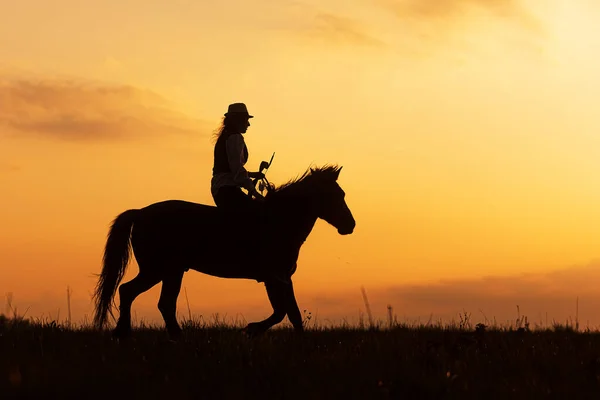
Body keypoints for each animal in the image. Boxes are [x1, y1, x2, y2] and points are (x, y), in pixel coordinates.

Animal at [91, 164, 354, 340]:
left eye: (342, 194)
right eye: (334, 195)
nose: (350, 225)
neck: (278, 221)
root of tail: (140, 213)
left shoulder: (281, 278)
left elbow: (291, 313)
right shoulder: (274, 277)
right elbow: (284, 311)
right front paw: (252, 329)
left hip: (172, 271)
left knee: (162, 303)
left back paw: (174, 337)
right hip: (157, 269)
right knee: (129, 291)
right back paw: (124, 333)